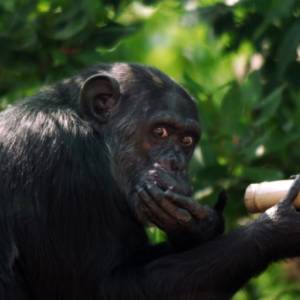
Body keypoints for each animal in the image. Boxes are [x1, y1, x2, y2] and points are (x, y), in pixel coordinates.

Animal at [0, 63, 300, 300]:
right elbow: (99, 288)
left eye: (187, 140)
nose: (176, 164)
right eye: (160, 132)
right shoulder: (66, 162)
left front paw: (201, 225)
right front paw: (278, 226)